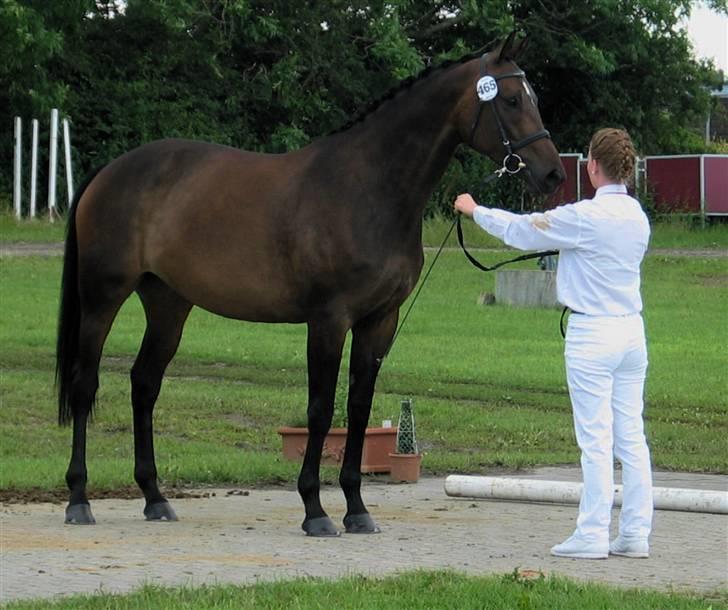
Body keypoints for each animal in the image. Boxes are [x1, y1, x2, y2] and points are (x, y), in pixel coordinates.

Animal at [58, 35, 564, 536]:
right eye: (512, 100)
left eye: (535, 99)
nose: (554, 174)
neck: (368, 190)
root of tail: (109, 172)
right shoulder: (328, 320)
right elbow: (320, 409)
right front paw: (315, 510)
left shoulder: (379, 320)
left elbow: (358, 407)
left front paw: (357, 509)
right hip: (102, 297)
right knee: (85, 385)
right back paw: (79, 500)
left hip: (168, 303)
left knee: (145, 384)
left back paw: (154, 497)